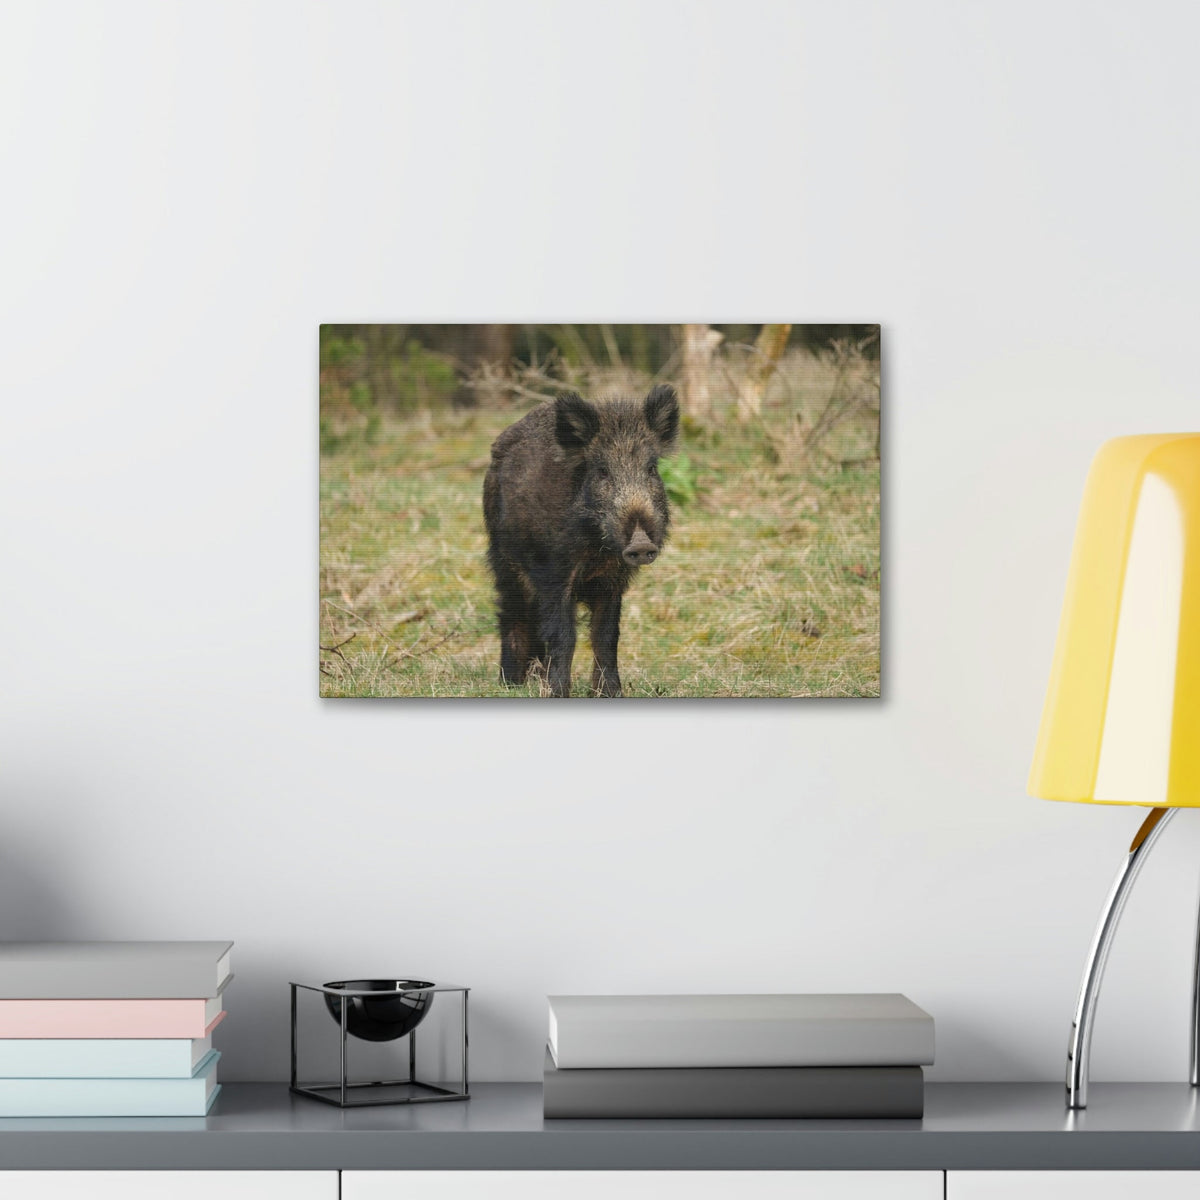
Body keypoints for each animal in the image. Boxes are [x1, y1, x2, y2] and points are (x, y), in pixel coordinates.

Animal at [482, 384, 680, 697]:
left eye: (651, 468)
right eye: (602, 470)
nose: (641, 544)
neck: (597, 550)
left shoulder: (613, 581)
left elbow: (606, 636)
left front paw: (611, 693)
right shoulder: (554, 574)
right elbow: (564, 635)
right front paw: (558, 693)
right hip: (503, 559)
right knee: (512, 611)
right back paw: (511, 682)